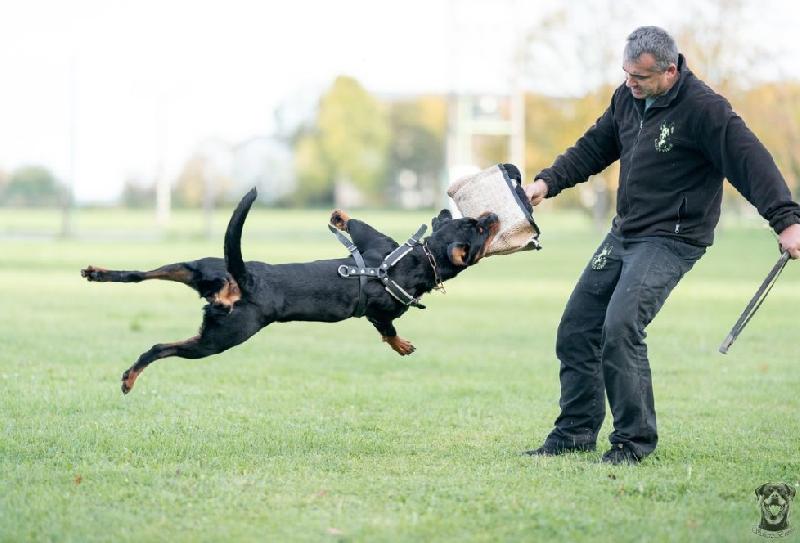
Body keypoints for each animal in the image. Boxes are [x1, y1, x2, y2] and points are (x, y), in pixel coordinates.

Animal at [81, 188, 499, 394]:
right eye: (479, 228)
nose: (494, 214)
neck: (418, 256)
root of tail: (241, 280)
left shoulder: (373, 242)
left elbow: (356, 226)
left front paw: (338, 216)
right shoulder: (381, 309)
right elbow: (388, 331)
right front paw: (402, 345)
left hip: (197, 268)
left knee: (140, 279)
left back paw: (98, 274)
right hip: (220, 339)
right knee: (160, 348)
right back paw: (131, 378)